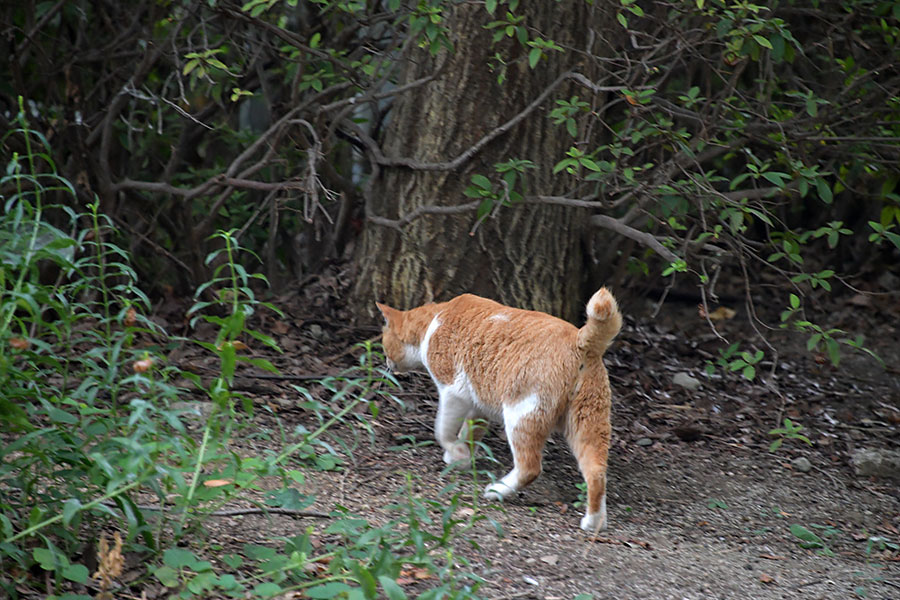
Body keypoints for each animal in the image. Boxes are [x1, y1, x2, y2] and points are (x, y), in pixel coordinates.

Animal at [376, 288, 624, 532]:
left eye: (384, 345)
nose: (386, 363)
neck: (434, 321)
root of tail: (581, 339)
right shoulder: (478, 405)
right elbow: (469, 433)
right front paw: (461, 457)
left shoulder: (453, 392)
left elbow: (443, 431)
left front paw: (457, 454)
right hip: (588, 422)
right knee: (596, 472)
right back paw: (594, 522)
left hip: (520, 416)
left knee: (530, 467)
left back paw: (497, 491)